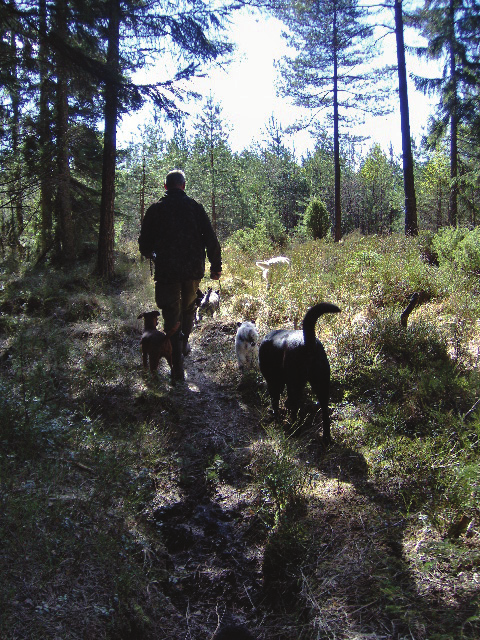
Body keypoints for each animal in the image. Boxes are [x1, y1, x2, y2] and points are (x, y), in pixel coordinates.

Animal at [258, 302, 342, 442]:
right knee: (324, 411)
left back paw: (294, 431)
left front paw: (276, 417)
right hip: (322, 384)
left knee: (294, 406)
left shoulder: (273, 381)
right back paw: (326, 438)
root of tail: (309, 341)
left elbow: (275, 401)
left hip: (295, 383)